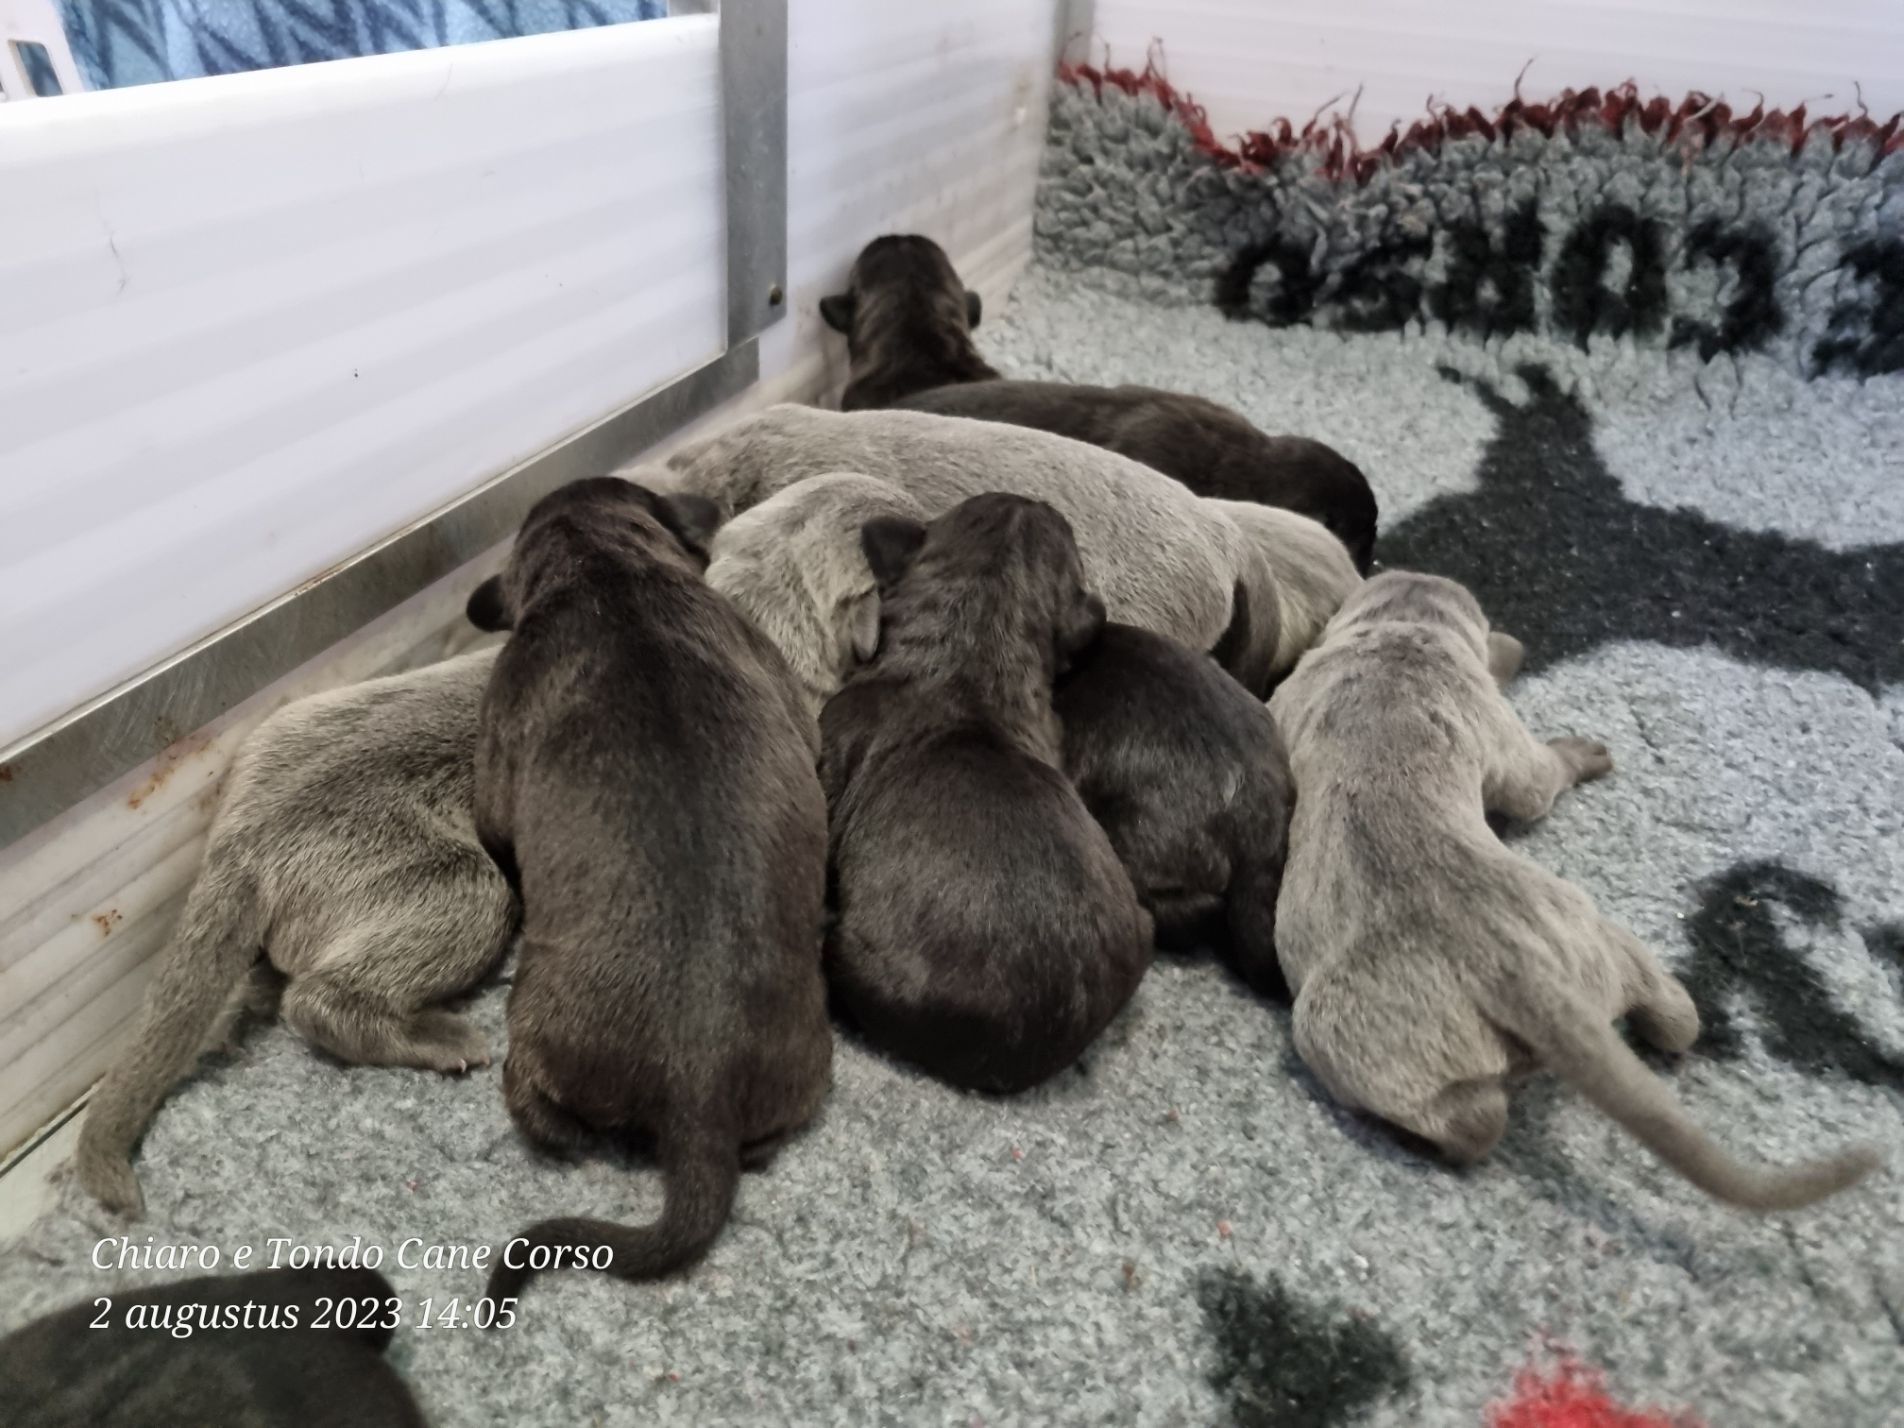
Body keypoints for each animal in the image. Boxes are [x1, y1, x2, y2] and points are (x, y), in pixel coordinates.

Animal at [470, 478, 831, 1302]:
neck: (605, 569)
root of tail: (699, 1090)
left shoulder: (496, 769)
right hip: (801, 1070)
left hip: (535, 1029)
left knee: (541, 1108)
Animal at [1268, 572, 1879, 1209]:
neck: (1402, 634)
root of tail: (1517, 973)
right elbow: (1533, 780)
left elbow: (1533, 783)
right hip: (1584, 939)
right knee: (1658, 1015)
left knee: (1484, 1116)